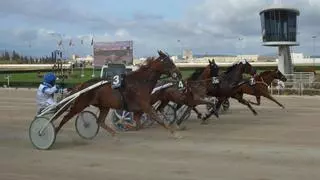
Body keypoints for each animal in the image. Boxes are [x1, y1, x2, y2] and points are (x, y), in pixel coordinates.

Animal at [55, 50, 184, 139]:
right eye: (168, 62)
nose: (178, 73)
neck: (140, 82)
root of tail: (82, 85)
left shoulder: (139, 110)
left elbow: (139, 125)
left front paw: (126, 125)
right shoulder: (145, 106)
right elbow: (158, 119)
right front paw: (175, 133)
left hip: (104, 106)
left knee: (100, 121)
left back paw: (114, 135)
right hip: (80, 104)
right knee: (66, 117)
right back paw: (54, 132)